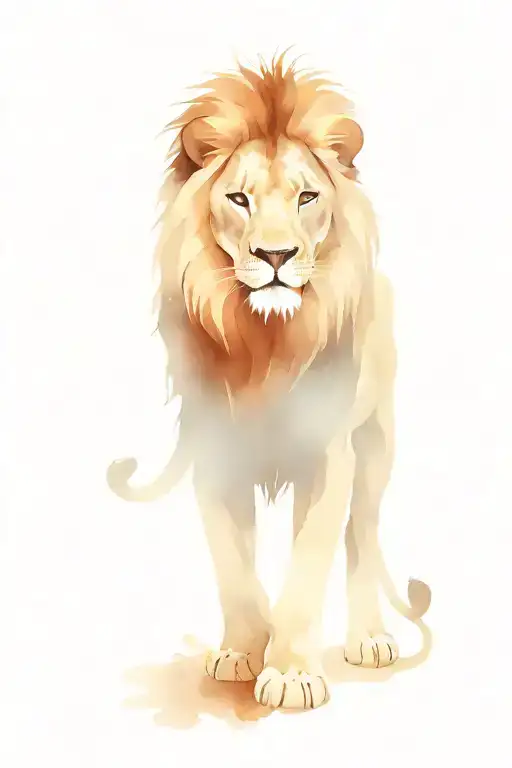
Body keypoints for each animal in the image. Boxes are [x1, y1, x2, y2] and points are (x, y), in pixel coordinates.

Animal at [107, 52, 432, 711]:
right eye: (238, 198)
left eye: (307, 196)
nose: (276, 256)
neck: (266, 342)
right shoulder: (214, 453)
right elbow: (233, 563)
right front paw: (242, 650)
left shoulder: (331, 454)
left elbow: (309, 563)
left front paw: (290, 674)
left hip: (376, 445)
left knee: (362, 538)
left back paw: (369, 638)